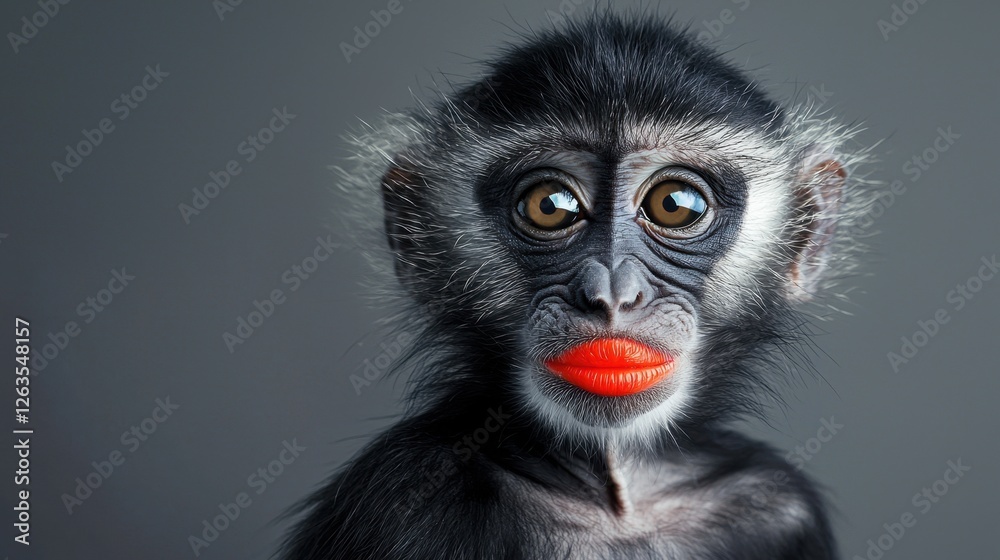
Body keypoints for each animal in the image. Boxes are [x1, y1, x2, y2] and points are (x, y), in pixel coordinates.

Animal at [280, 12, 875, 560]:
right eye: (550, 206)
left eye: (675, 204)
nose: (613, 292)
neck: (620, 495)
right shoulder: (402, 491)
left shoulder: (778, 502)